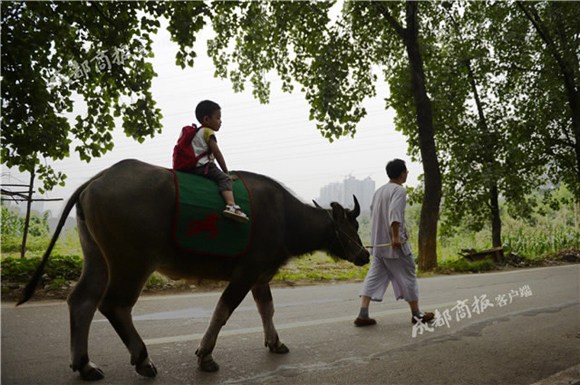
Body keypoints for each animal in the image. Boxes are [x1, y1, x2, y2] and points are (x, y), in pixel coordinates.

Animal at [19, 158, 372, 378]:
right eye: (352, 227)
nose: (365, 256)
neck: (285, 217)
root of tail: (99, 178)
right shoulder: (246, 272)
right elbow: (223, 310)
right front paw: (205, 355)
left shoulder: (260, 277)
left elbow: (266, 309)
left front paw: (275, 342)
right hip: (132, 261)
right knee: (114, 304)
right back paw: (143, 359)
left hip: (97, 257)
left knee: (82, 301)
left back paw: (85, 365)